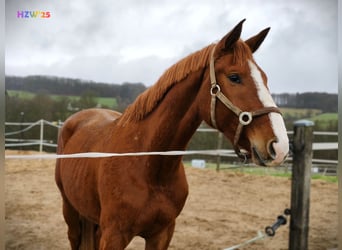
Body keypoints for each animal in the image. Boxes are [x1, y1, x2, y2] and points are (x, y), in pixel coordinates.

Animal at [55, 20, 288, 250]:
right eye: (234, 77)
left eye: (265, 78)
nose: (280, 146)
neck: (149, 166)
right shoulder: (114, 236)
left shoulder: (162, 234)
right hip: (71, 213)